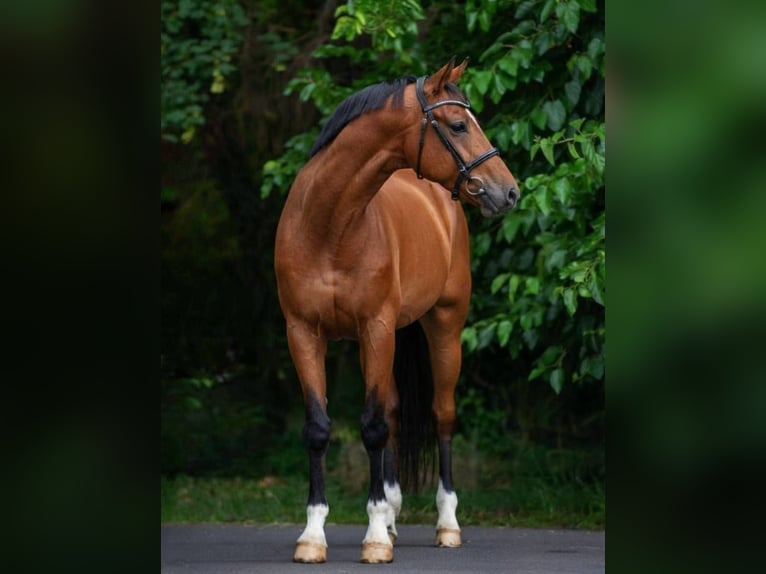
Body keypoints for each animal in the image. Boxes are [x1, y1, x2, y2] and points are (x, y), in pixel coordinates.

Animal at [274, 58, 519, 564]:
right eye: (459, 124)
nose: (508, 191)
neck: (328, 227)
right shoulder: (303, 332)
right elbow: (320, 428)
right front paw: (314, 536)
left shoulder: (378, 327)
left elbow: (371, 428)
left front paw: (372, 540)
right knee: (389, 412)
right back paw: (389, 514)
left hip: (444, 325)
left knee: (441, 415)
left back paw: (446, 524)